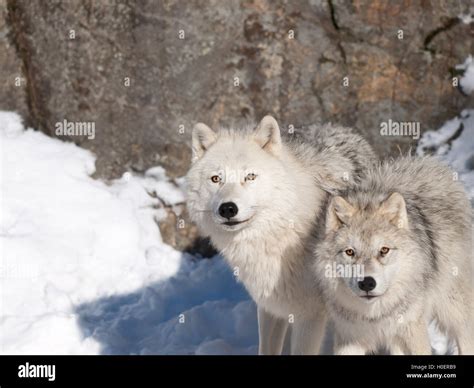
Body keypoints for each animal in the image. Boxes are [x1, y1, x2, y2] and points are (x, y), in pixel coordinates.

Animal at [314, 156, 474, 356]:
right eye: (350, 252)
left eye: (384, 250)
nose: (367, 283)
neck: (375, 315)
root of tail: (430, 164)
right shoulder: (350, 338)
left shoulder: (413, 332)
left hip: (456, 313)